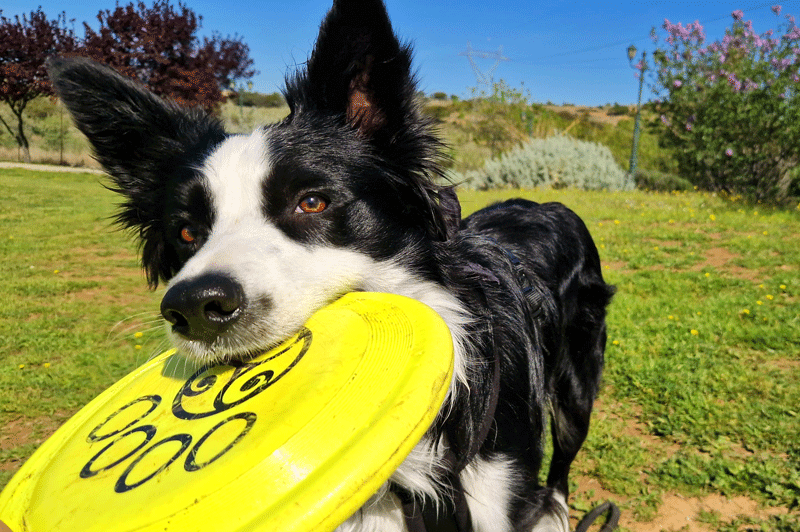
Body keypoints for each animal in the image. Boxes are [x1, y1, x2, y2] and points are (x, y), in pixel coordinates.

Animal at [48, 0, 614, 530]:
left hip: (574, 395)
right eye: (186, 232)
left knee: (561, 469)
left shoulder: (496, 490)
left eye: (312, 202)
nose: (192, 306)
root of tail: (546, 203)